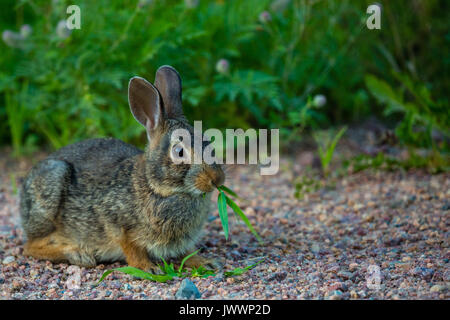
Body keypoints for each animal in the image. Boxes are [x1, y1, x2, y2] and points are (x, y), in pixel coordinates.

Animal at [20, 65, 225, 272]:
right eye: (179, 151)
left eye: (207, 141)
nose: (217, 179)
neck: (155, 187)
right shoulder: (117, 225)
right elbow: (132, 249)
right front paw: (148, 268)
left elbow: (188, 252)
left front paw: (205, 262)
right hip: (52, 189)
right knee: (30, 246)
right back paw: (77, 254)